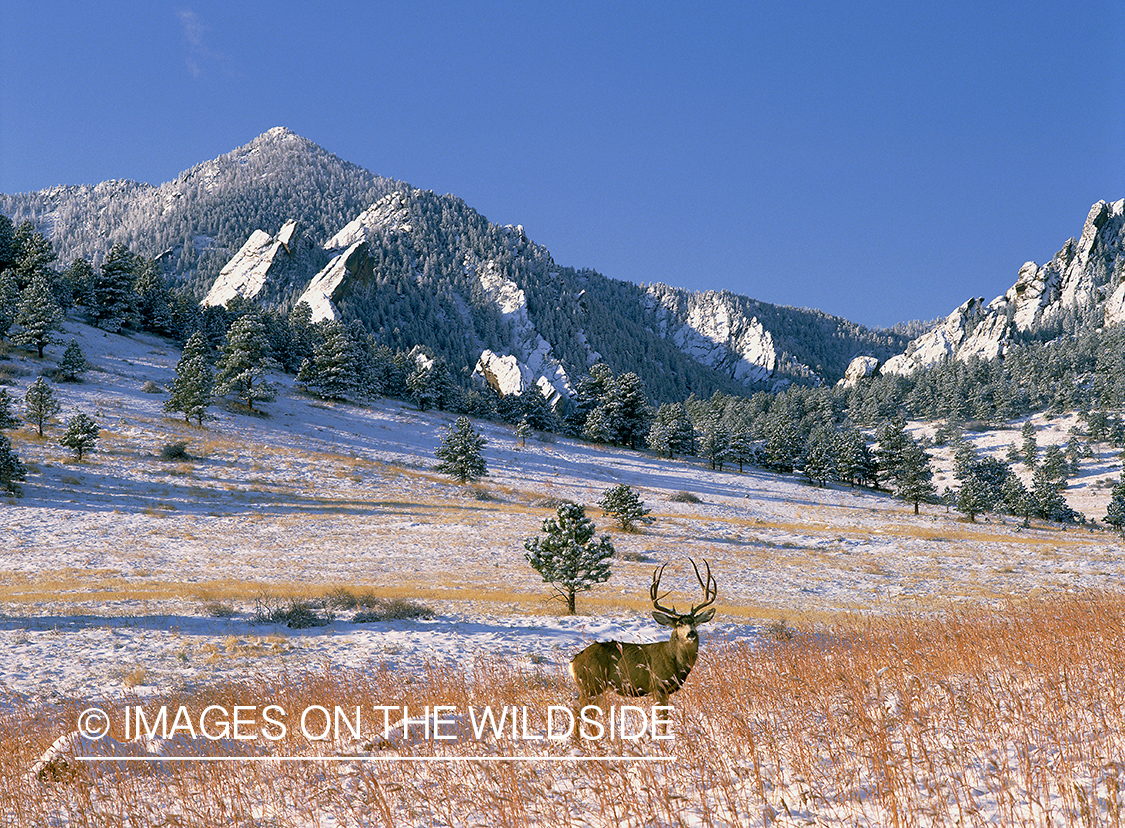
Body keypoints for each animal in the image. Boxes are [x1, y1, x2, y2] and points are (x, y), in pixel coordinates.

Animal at [568, 558, 717, 715]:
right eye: (679, 624)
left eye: (694, 622)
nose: (691, 633)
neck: (674, 659)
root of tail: (573, 661)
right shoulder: (657, 687)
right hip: (590, 684)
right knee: (577, 709)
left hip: (597, 688)